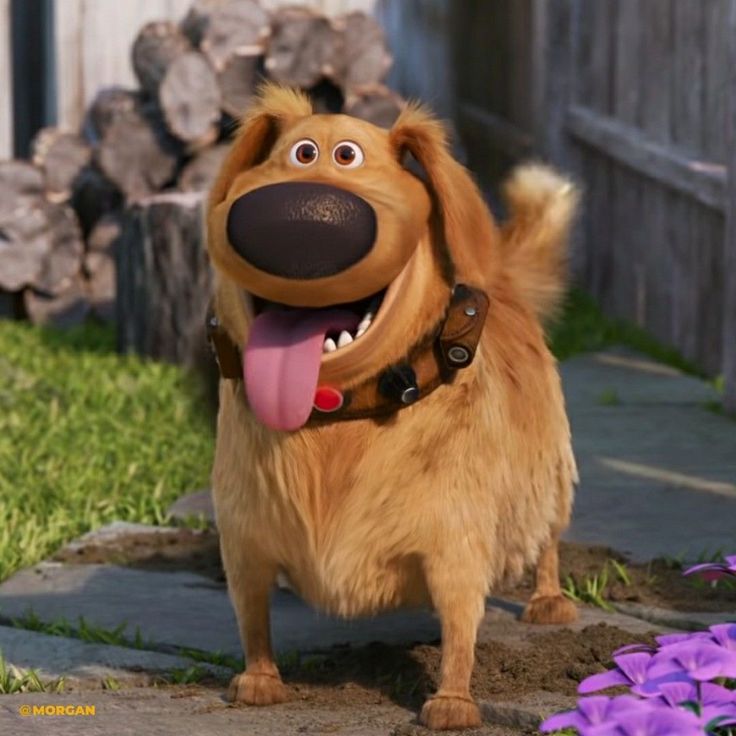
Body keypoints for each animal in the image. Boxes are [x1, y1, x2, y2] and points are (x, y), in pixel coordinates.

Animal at [207, 85, 580, 732]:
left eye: (349, 156)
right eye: (298, 154)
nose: (295, 217)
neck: (333, 420)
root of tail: (502, 281)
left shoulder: (456, 545)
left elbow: (460, 630)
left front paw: (452, 702)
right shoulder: (243, 540)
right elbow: (251, 616)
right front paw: (260, 681)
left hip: (551, 477)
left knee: (548, 540)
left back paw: (549, 600)